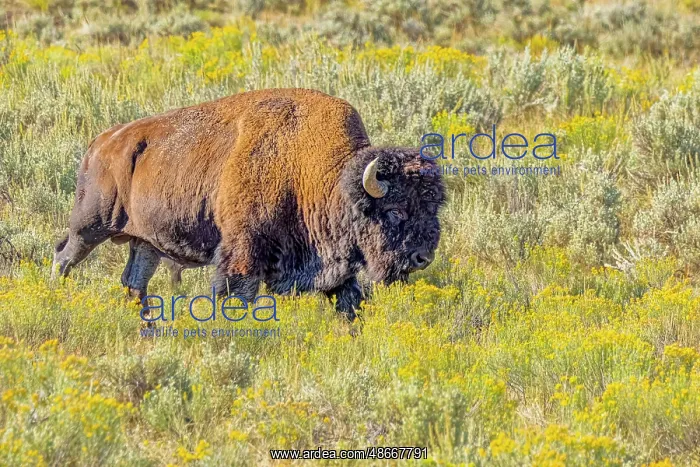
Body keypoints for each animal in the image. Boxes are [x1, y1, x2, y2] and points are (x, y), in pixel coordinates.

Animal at [53, 88, 445, 320]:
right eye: (395, 211)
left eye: (432, 209)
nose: (423, 258)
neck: (315, 173)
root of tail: (102, 142)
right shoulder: (242, 252)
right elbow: (234, 295)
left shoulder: (336, 270)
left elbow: (349, 304)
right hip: (90, 225)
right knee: (64, 256)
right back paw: (56, 295)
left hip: (145, 242)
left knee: (133, 281)